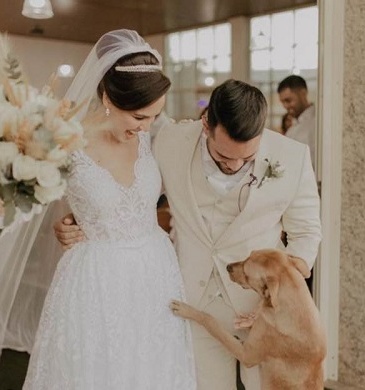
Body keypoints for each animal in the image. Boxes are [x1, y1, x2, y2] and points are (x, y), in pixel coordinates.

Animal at [171, 250, 328, 390]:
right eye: (249, 255)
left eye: (247, 273)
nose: (227, 266)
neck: (297, 306)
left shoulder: (245, 354)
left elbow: (211, 321)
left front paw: (187, 310)